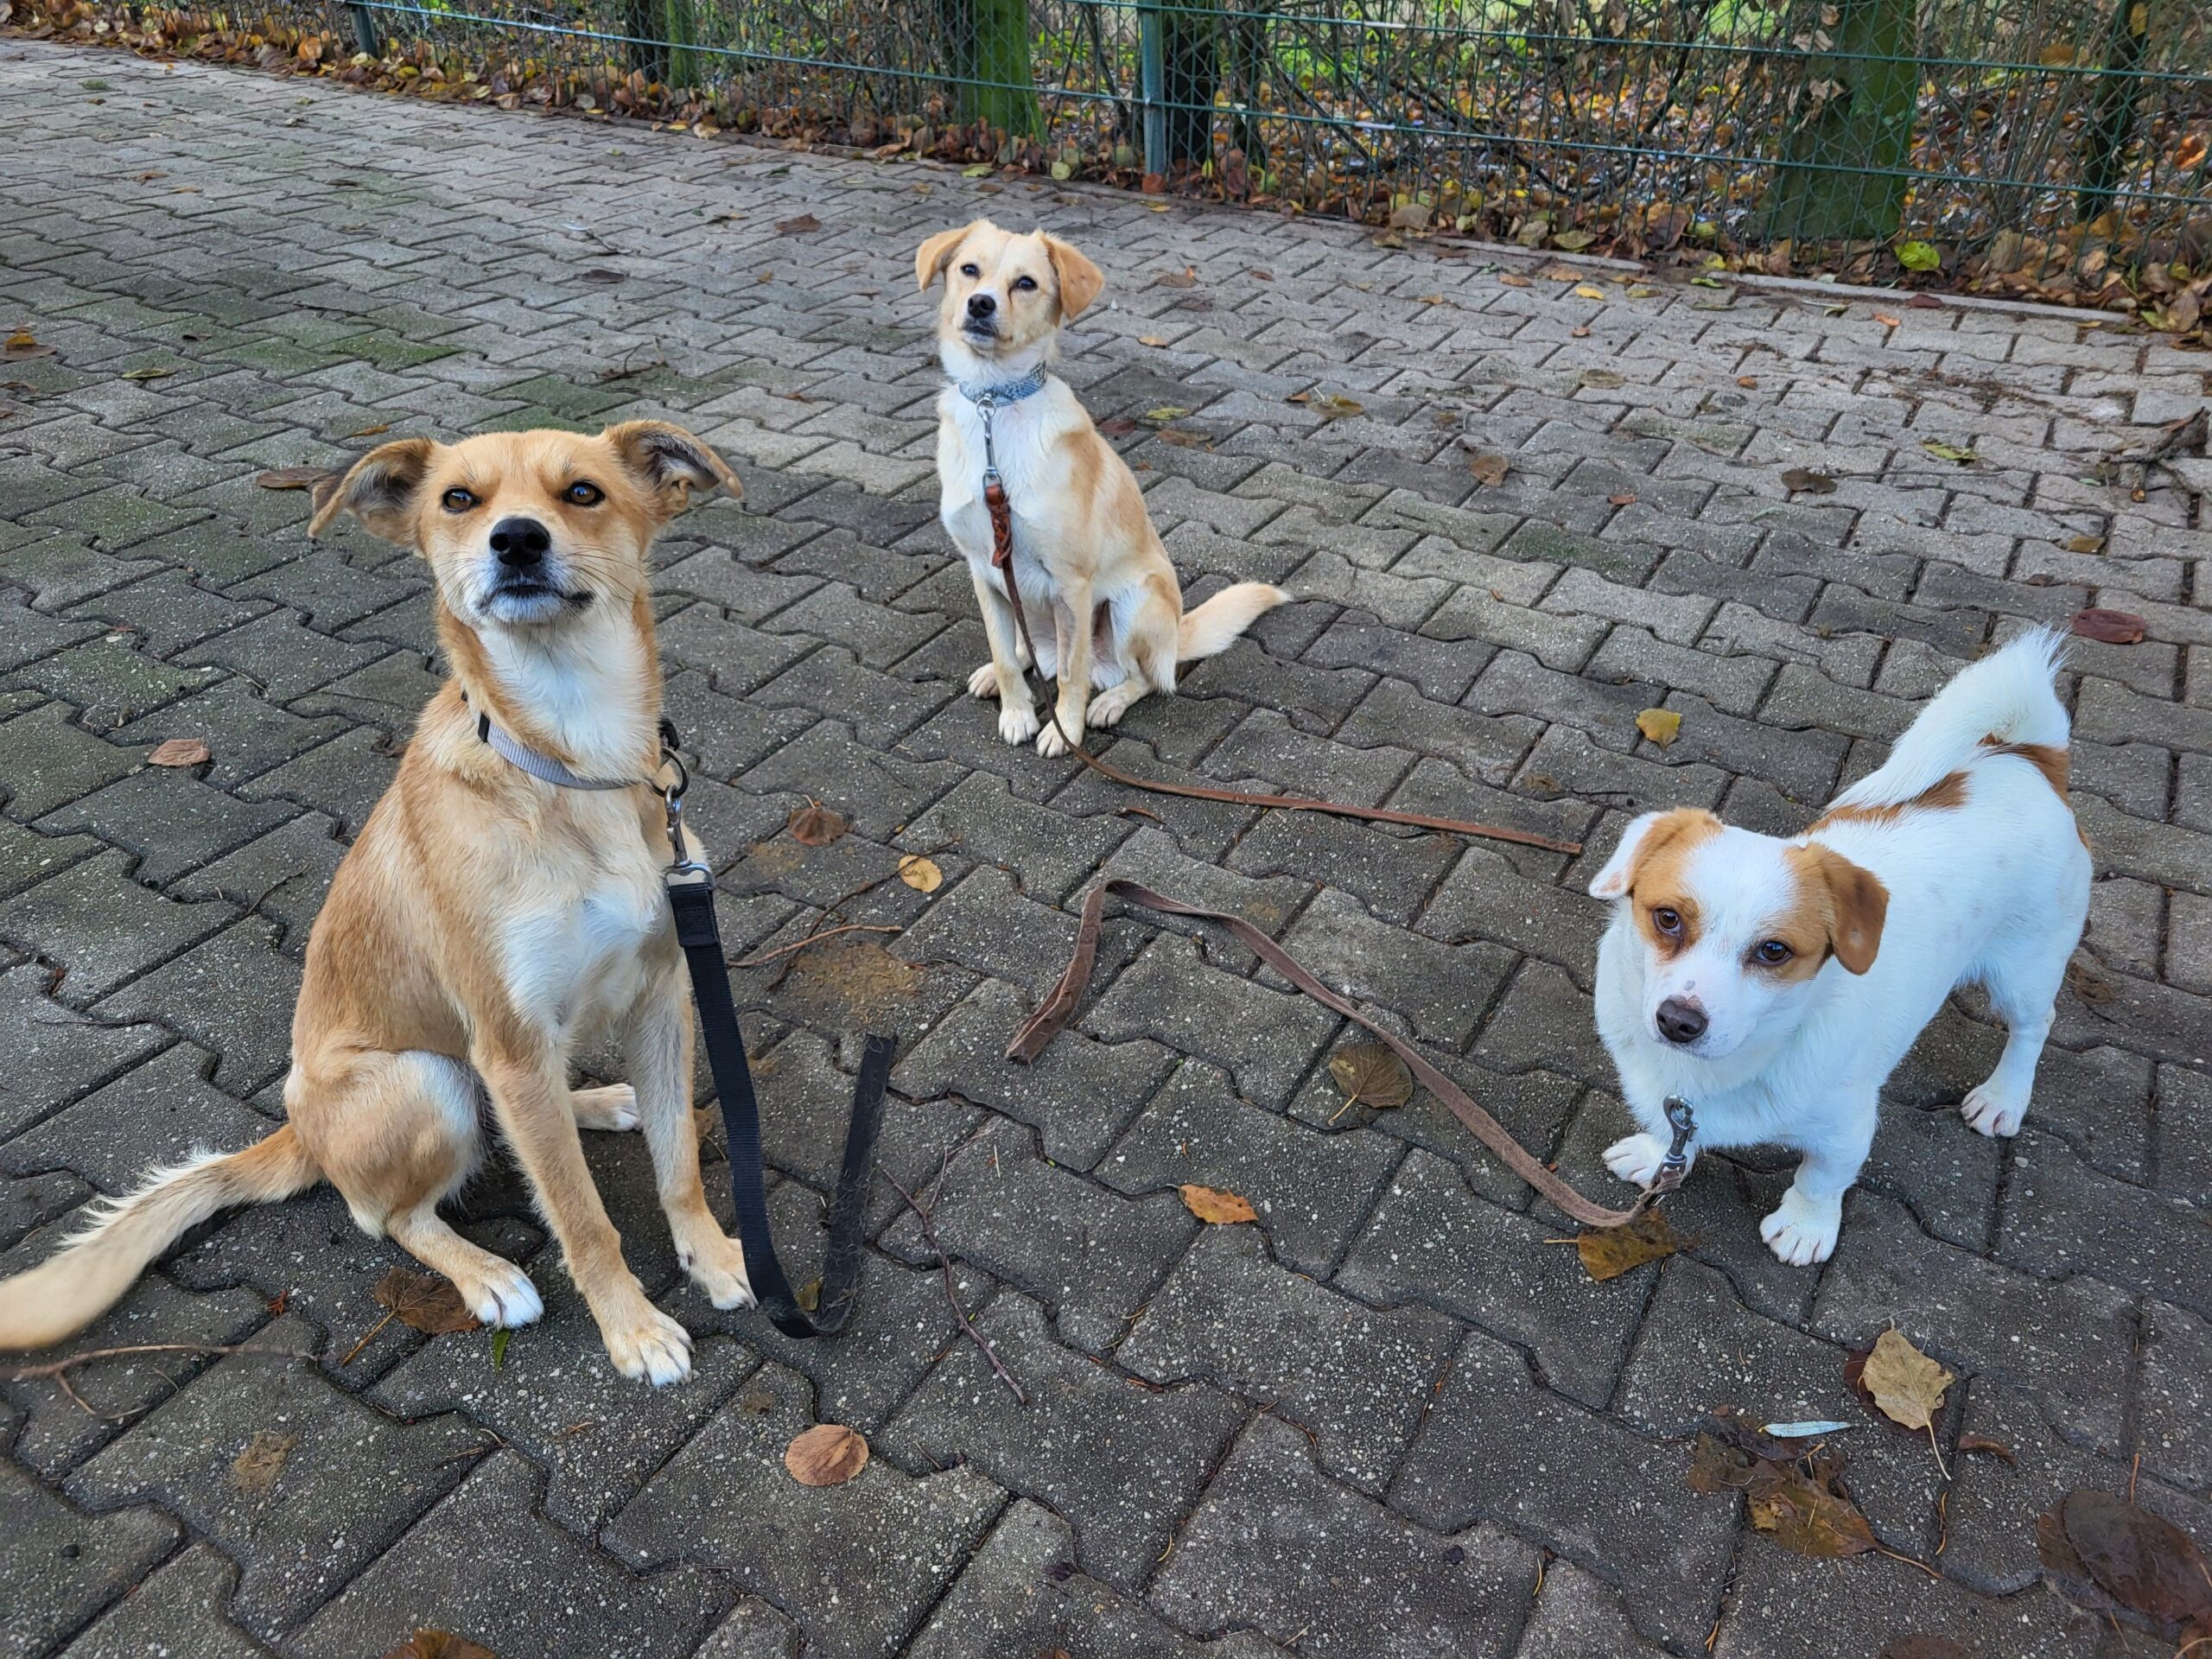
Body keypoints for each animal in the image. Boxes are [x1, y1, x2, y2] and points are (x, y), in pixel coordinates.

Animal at [0, 422, 752, 1380]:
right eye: (459, 500)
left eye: (582, 493)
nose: (517, 540)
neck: (573, 760)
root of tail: (300, 1134)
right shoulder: (511, 1038)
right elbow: (583, 1219)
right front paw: (633, 1328)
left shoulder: (665, 994)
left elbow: (678, 1161)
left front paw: (714, 1257)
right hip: (427, 1079)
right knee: (388, 1214)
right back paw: (485, 1274)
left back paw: (594, 1105)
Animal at [915, 222, 1292, 760]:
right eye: (969, 269)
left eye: (1026, 283)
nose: (981, 304)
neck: (995, 404)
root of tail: (1177, 635)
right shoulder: (984, 570)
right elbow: (1005, 653)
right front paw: (1016, 712)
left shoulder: (1072, 584)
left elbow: (1073, 676)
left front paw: (1065, 730)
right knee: (1029, 653)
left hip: (1133, 604)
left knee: (1142, 678)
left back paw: (1109, 701)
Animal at [1592, 628, 2088, 1265]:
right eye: (1668, 918)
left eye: (1775, 952)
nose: (1679, 1021)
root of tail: (2026, 759)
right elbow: (1670, 1131)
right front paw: (1658, 1155)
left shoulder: (1845, 1128)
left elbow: (1821, 1178)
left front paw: (1805, 1226)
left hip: (2024, 970)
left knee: (2034, 1025)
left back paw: (2005, 1095)